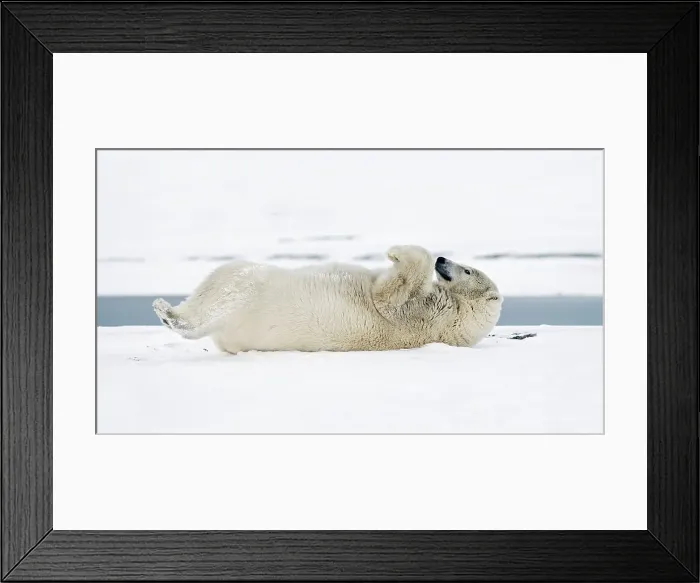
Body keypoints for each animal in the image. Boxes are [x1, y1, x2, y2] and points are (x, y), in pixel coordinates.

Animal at [152, 245, 503, 353]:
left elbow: (386, 296)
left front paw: (396, 252)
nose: (443, 259)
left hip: (253, 291)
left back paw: (169, 313)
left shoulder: (418, 313)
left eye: (467, 270)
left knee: (226, 282)